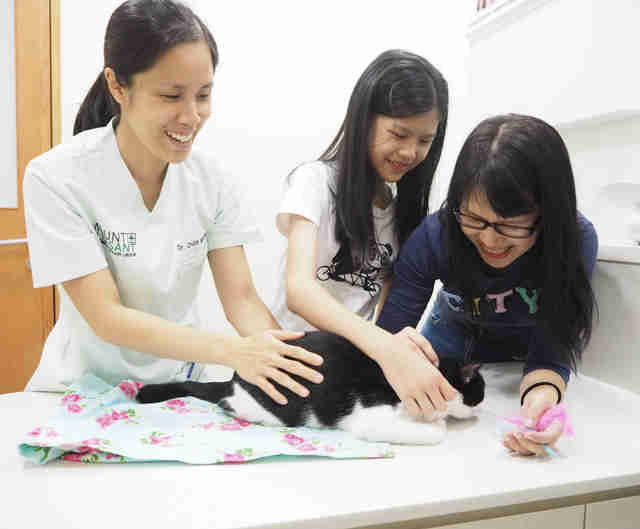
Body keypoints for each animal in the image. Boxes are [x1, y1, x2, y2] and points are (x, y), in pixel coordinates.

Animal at [136, 332, 484, 444]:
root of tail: (236, 378)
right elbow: (434, 431)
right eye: (478, 392)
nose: (482, 407)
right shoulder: (371, 418)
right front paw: (436, 423)